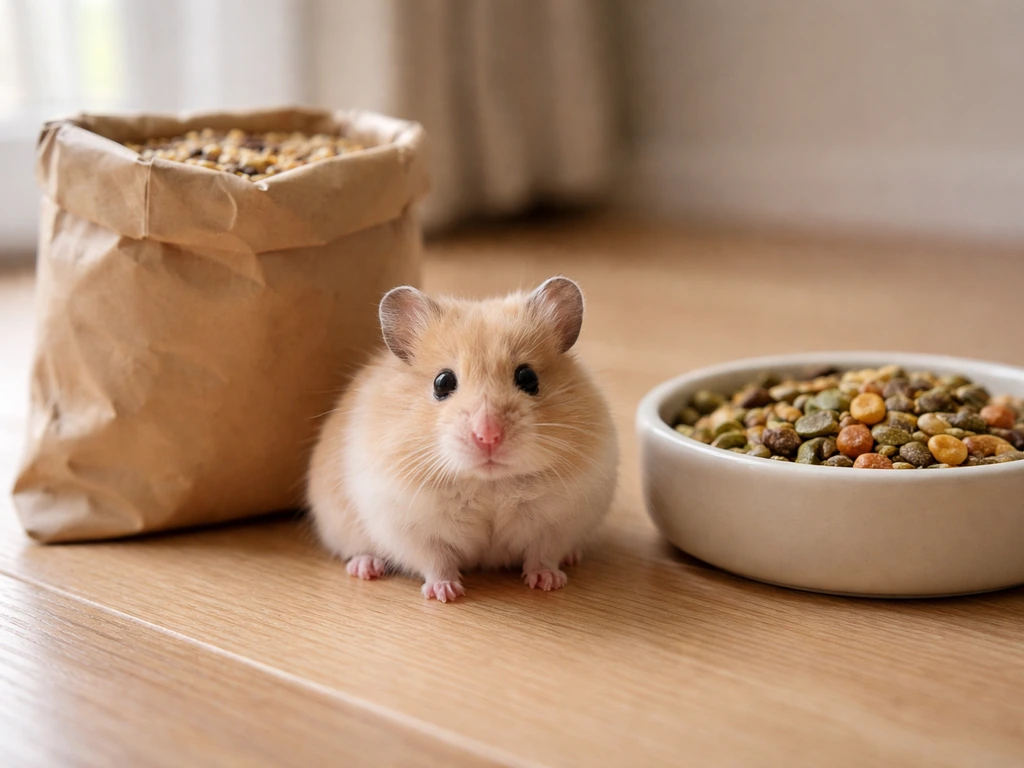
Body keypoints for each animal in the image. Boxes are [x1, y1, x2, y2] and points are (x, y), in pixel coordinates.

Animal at [306, 276, 618, 602]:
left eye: (528, 378)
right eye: (442, 382)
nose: (488, 435)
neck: (489, 484)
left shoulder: (560, 522)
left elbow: (542, 554)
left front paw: (549, 583)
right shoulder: (410, 527)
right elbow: (436, 561)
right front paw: (445, 594)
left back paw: (572, 558)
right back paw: (366, 567)